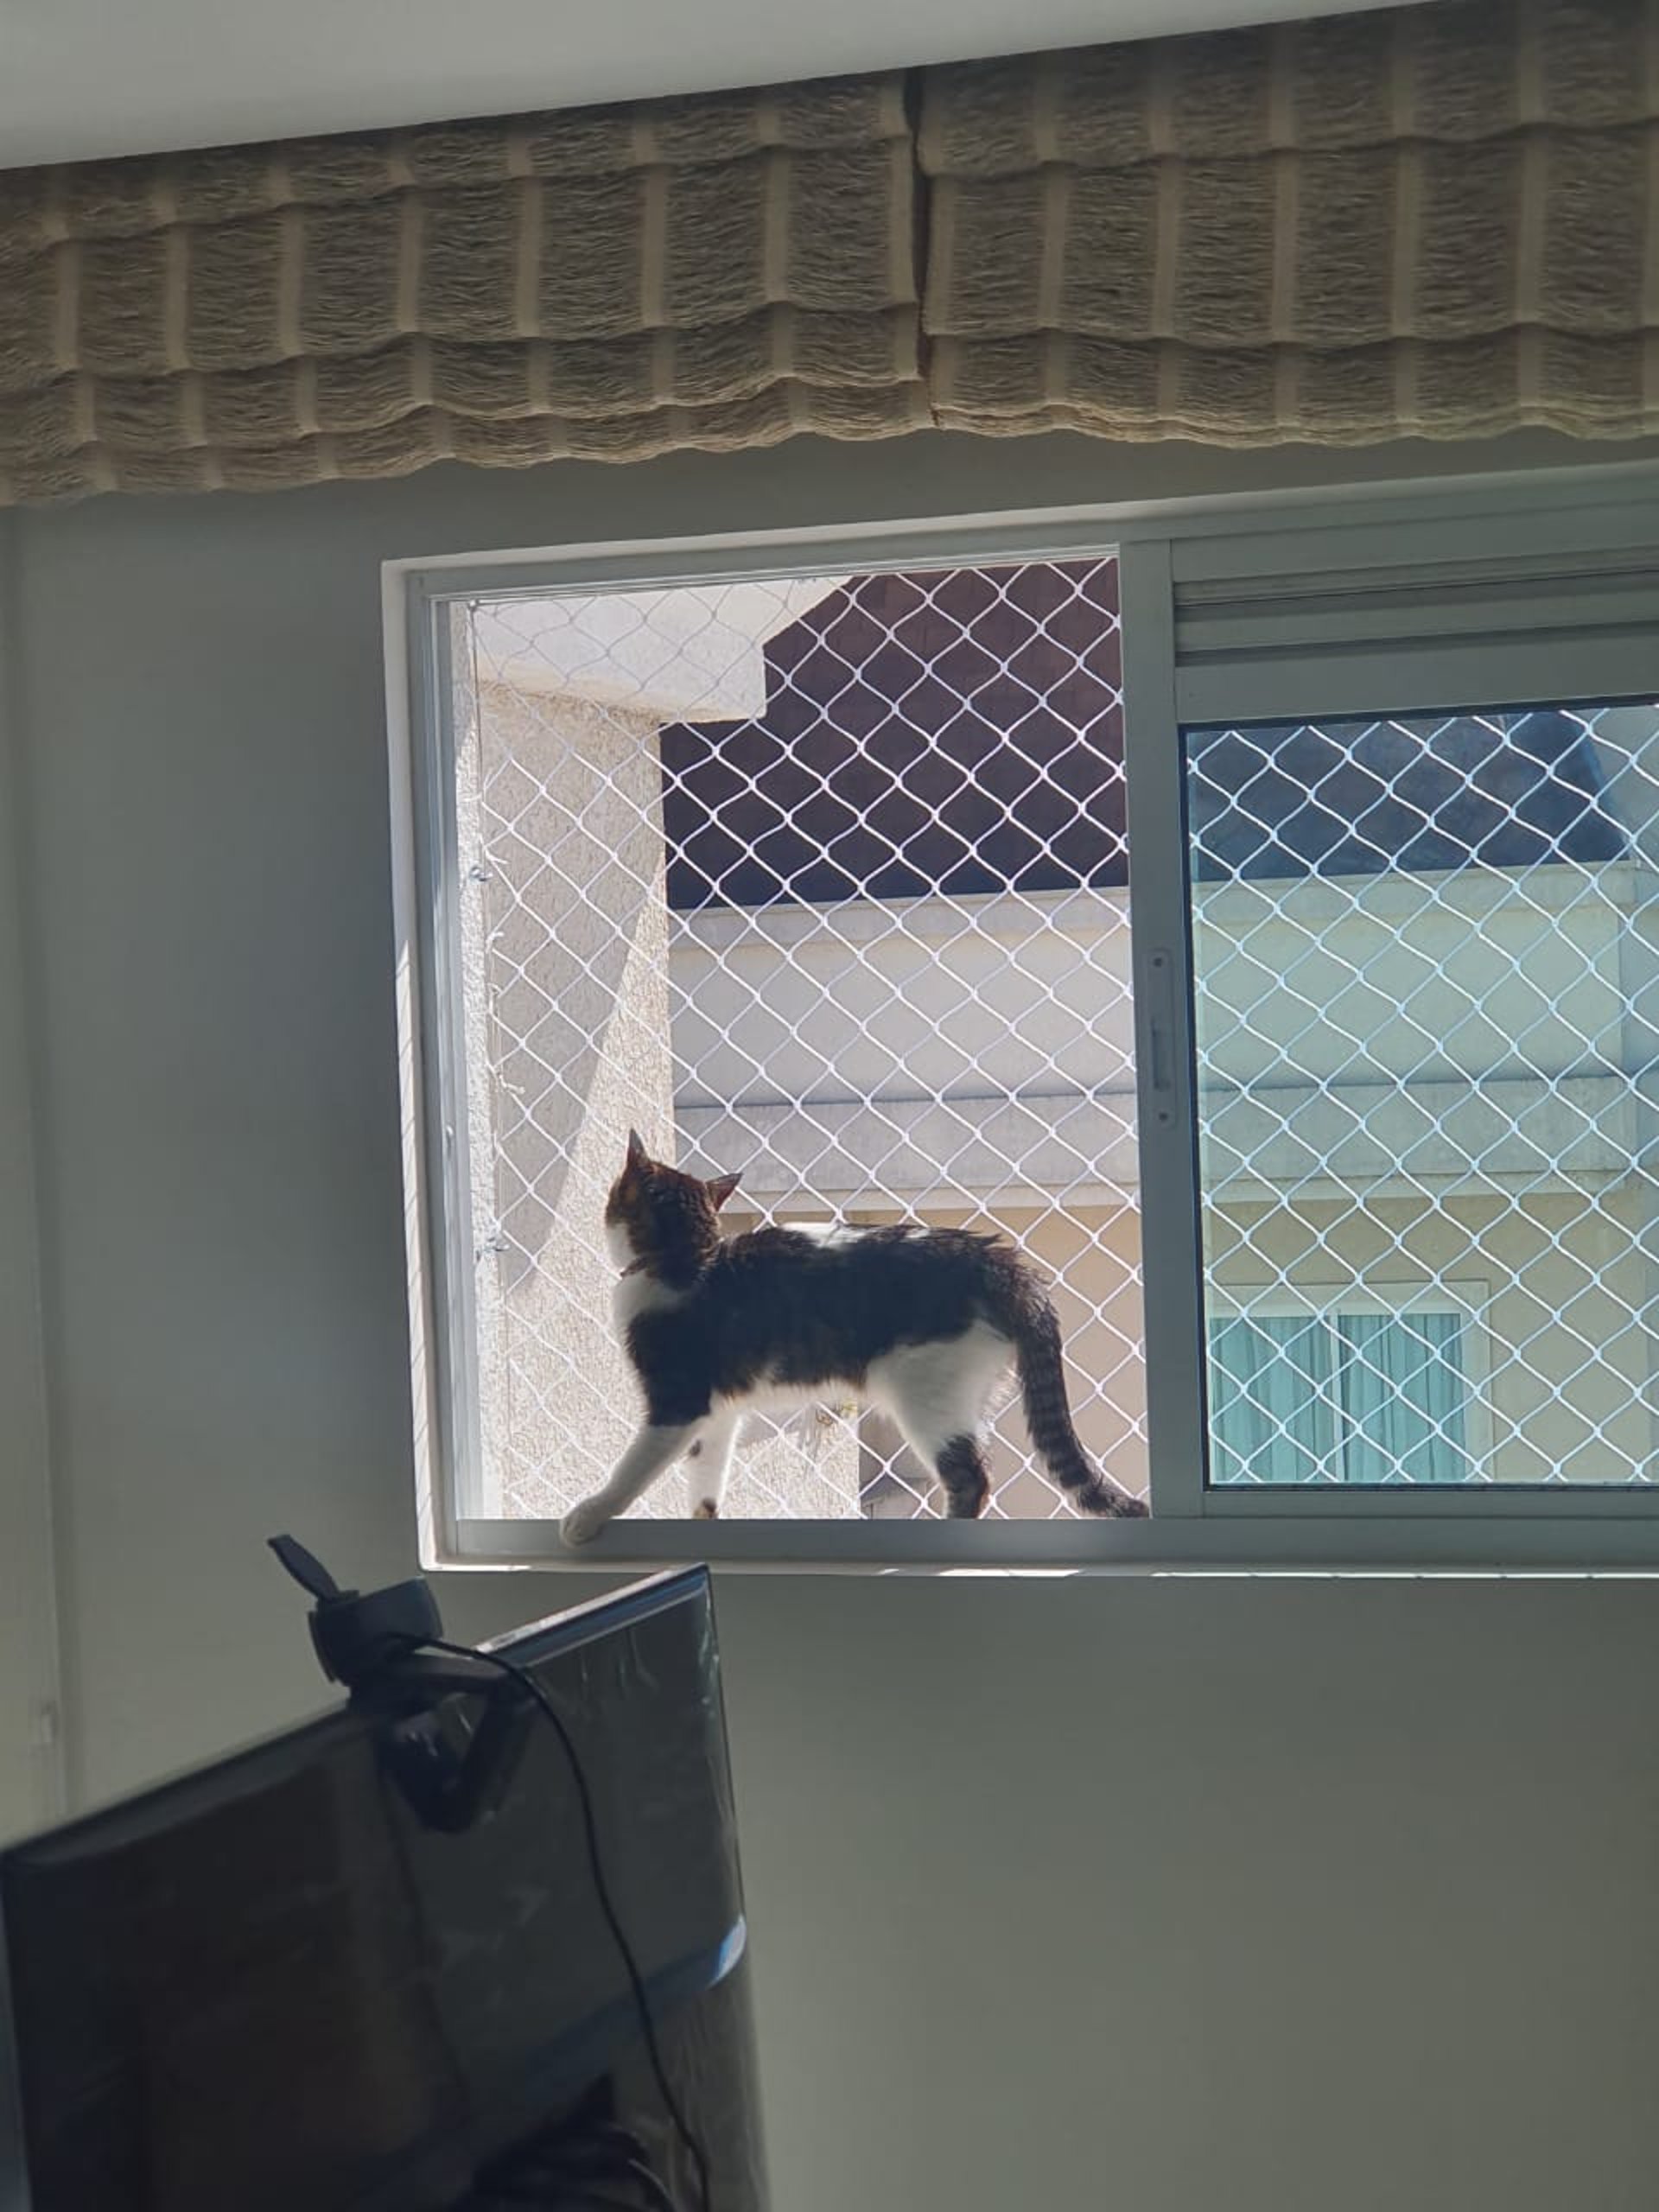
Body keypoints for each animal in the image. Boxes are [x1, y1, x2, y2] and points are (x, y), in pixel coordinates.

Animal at [559, 1132, 1159, 1548]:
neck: (685, 1260)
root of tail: (1003, 1262)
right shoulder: (720, 1411)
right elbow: (708, 1476)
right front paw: (703, 1523)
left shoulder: (678, 1401)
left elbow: (634, 1466)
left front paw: (589, 1514)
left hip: (925, 1391)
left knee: (971, 1477)